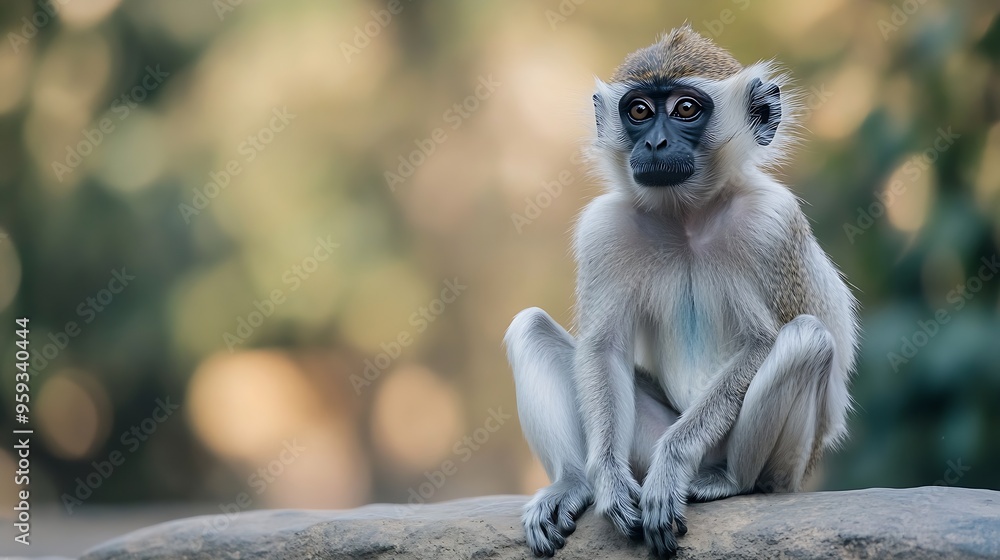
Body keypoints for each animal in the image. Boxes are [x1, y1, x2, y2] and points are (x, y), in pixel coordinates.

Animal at [504, 25, 858, 558]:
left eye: (686, 108)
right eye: (639, 111)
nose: (655, 142)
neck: (686, 216)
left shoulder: (772, 224)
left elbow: (762, 343)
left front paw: (671, 465)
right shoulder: (603, 229)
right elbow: (603, 348)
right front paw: (608, 482)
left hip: (781, 463)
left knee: (806, 340)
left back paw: (731, 480)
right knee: (531, 328)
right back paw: (573, 482)